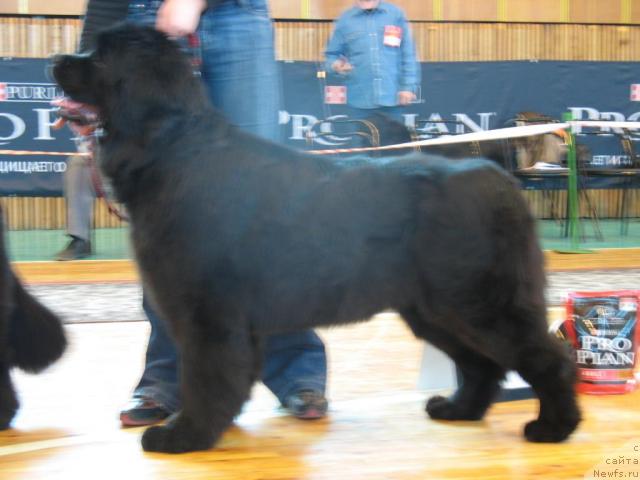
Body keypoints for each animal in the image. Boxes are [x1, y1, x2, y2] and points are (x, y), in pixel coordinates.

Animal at [52, 24, 576, 452]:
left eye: (100, 57)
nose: (56, 59)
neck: (169, 146)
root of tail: (500, 179)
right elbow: (226, 378)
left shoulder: (208, 311)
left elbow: (204, 377)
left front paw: (185, 436)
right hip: (434, 309)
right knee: (483, 365)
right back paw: (459, 409)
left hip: (475, 301)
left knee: (546, 356)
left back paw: (554, 427)